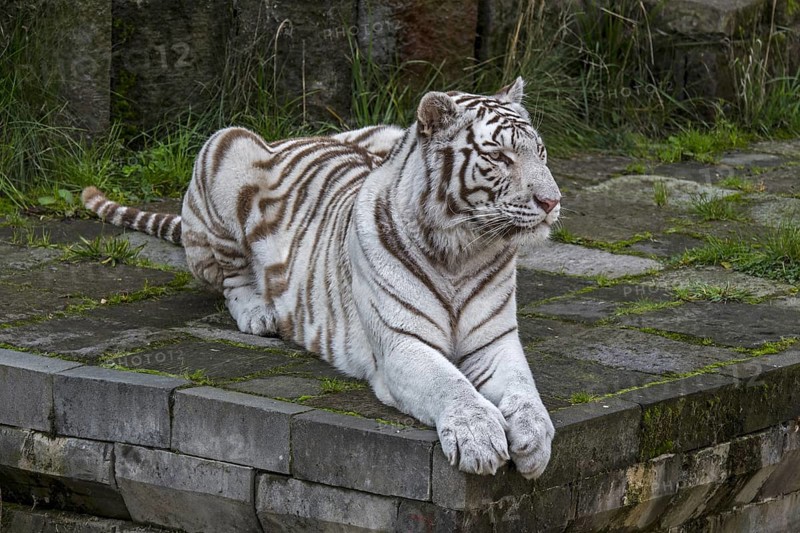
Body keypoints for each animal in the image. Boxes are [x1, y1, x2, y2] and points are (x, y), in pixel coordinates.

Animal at [82, 78, 560, 479]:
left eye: (541, 152)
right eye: (499, 157)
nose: (552, 201)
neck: (463, 251)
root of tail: (294, 136)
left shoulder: (495, 341)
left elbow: (525, 388)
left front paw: (535, 439)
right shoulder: (402, 344)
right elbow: (451, 385)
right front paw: (479, 438)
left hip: (381, 131)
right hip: (226, 145)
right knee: (230, 277)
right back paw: (259, 314)